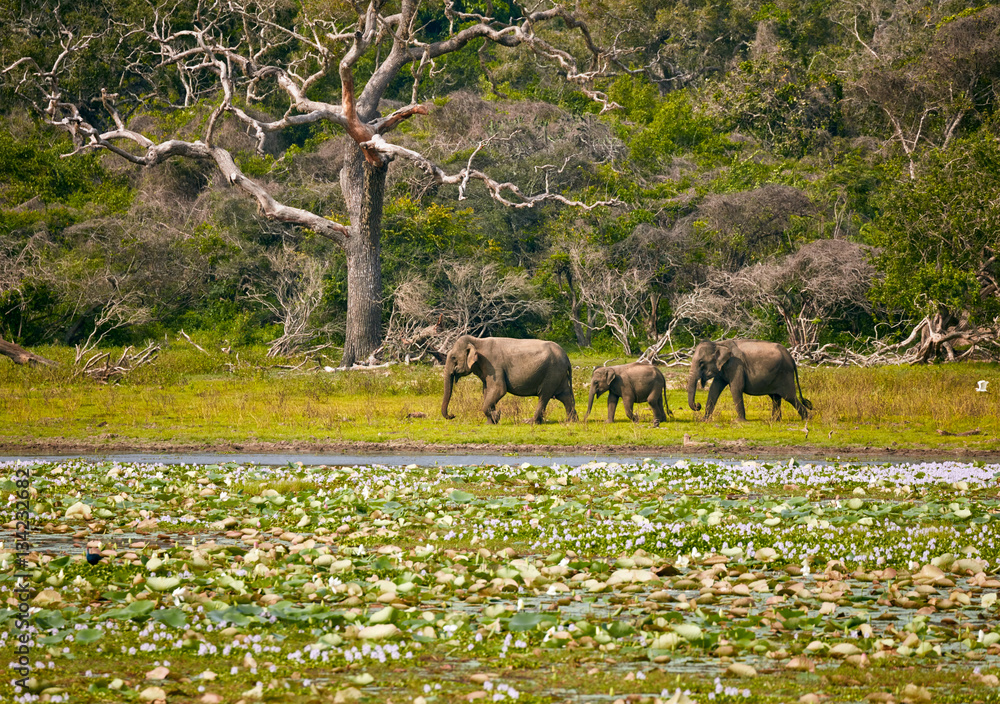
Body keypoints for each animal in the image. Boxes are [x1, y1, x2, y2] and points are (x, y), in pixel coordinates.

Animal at [441, 335, 578, 424]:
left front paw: (496, 416)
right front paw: (491, 421)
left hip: (552, 373)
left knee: (544, 396)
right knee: (564, 395)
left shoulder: (493, 365)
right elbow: (487, 391)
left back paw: (530, 422)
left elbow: (499, 389)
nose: (452, 415)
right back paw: (572, 421)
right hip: (559, 374)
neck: (477, 341)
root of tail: (567, 358)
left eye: (453, 357)